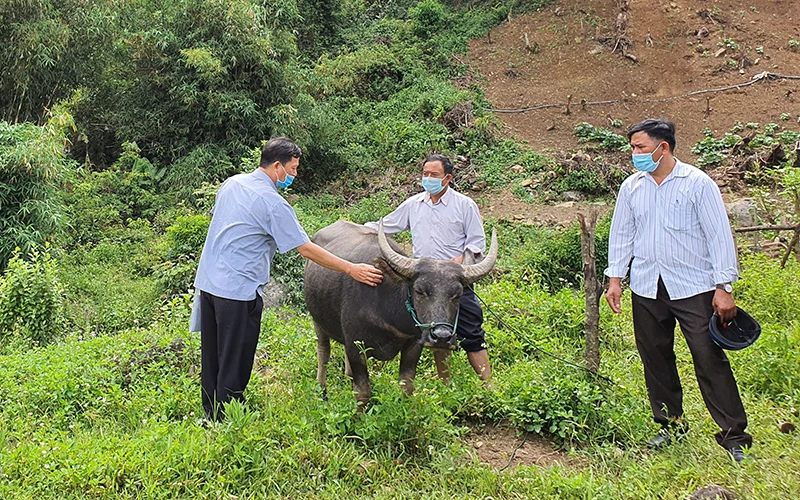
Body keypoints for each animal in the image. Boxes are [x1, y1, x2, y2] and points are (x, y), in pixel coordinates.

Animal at [304, 222, 496, 406]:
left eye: (458, 294)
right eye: (419, 291)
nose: (442, 337)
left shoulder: (414, 344)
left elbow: (407, 386)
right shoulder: (355, 345)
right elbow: (363, 392)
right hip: (317, 322)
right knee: (323, 353)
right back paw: (322, 392)